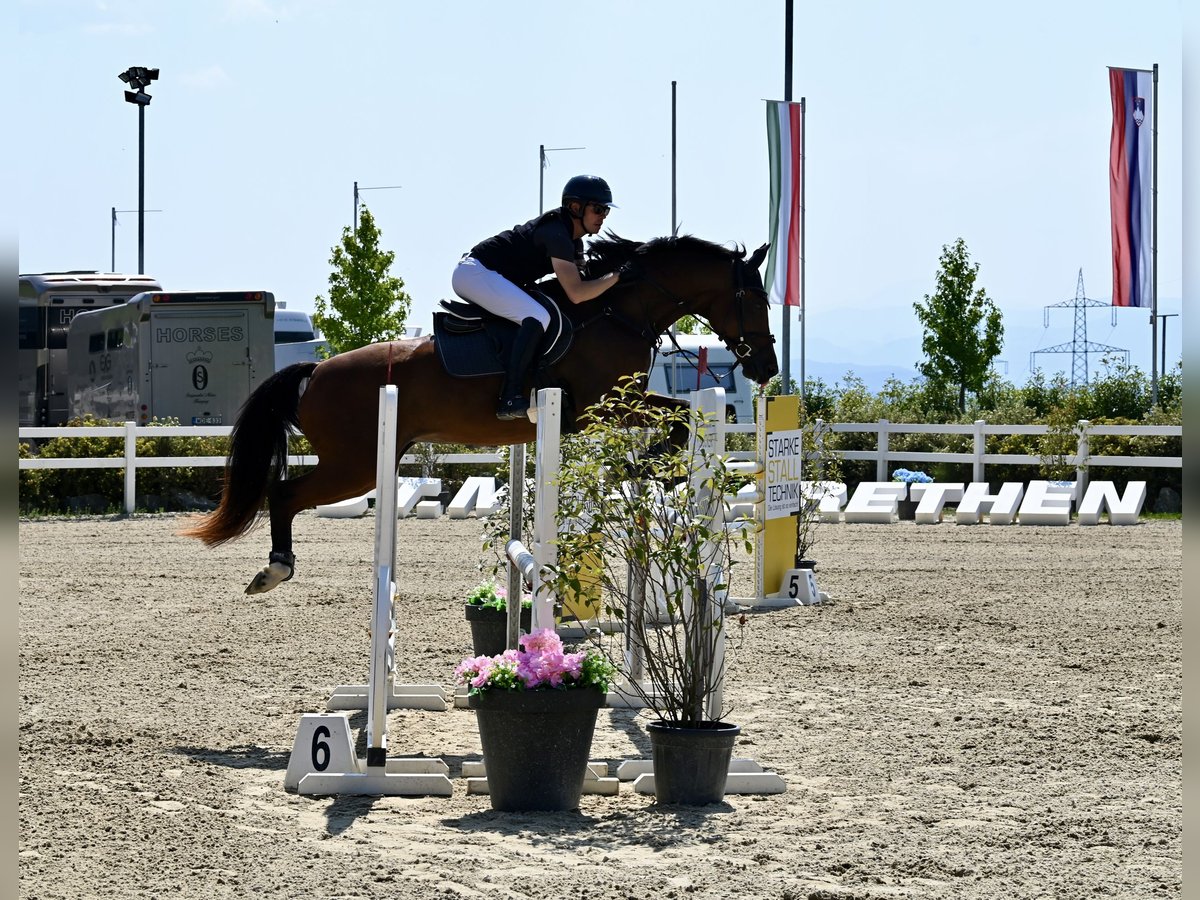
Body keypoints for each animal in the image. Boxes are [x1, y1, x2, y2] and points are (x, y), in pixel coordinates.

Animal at [177, 236, 777, 595]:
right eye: (756, 298)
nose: (767, 366)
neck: (618, 311)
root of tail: (316, 370)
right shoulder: (600, 406)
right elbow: (676, 419)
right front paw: (643, 467)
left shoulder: (615, 405)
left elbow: (680, 417)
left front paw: (648, 469)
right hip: (356, 464)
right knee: (284, 494)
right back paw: (275, 568)